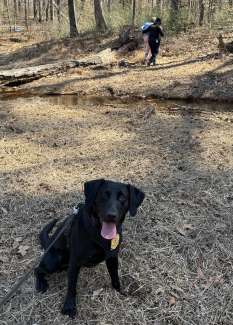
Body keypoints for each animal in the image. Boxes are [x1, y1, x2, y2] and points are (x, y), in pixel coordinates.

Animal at [34, 177, 145, 316]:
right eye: (104, 195)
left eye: (122, 198)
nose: (111, 215)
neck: (98, 233)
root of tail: (49, 242)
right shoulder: (75, 262)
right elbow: (71, 286)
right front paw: (69, 306)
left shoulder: (112, 257)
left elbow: (115, 276)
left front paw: (119, 290)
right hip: (54, 260)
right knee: (37, 269)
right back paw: (41, 284)